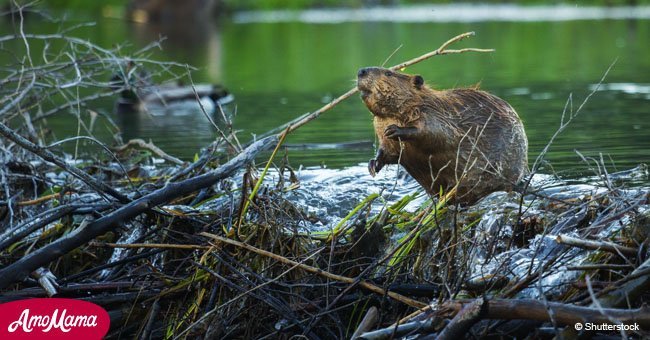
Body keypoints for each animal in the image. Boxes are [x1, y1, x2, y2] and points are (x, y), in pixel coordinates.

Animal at [354, 67, 528, 205]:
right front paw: (373, 165)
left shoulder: (435, 113)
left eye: (388, 73)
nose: (361, 71)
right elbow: (389, 152)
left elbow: (437, 134)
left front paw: (394, 130)